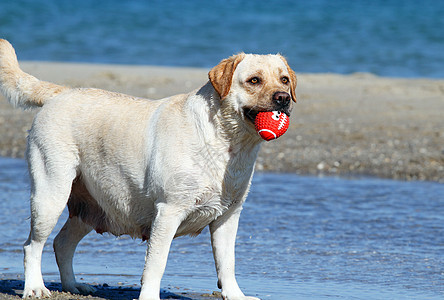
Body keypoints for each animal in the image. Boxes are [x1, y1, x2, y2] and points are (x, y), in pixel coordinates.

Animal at [0, 39, 298, 300]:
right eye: (254, 80)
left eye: (284, 79)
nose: (283, 98)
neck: (226, 143)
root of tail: (62, 92)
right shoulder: (168, 211)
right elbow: (157, 263)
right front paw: (149, 296)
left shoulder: (228, 215)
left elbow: (227, 262)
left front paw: (235, 295)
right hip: (50, 195)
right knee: (32, 245)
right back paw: (35, 287)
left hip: (92, 206)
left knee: (61, 243)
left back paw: (74, 286)